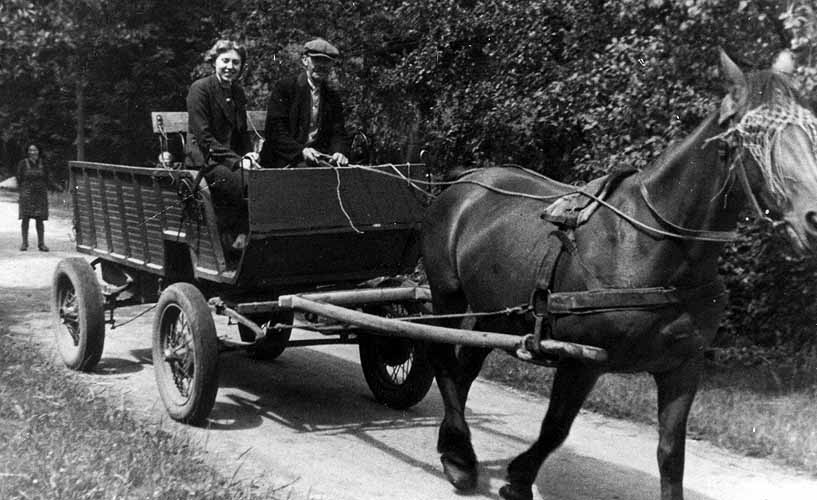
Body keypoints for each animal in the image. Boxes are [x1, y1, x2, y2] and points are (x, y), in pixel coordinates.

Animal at [418, 49, 816, 500]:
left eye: (812, 126)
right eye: (753, 133)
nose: (813, 219)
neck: (653, 248)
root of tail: (466, 181)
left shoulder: (683, 366)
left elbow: (671, 453)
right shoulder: (581, 361)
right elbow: (555, 428)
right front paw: (518, 479)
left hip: (496, 310)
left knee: (466, 364)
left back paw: (455, 450)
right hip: (447, 292)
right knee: (441, 357)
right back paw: (460, 457)